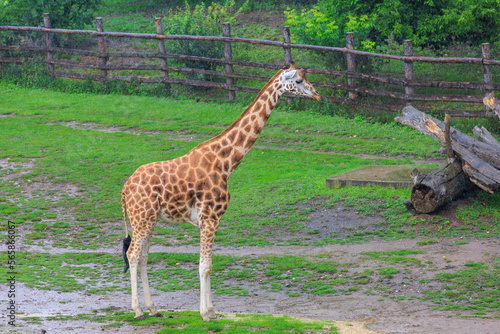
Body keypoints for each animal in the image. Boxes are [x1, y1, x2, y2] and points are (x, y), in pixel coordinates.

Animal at [121, 61, 320, 320]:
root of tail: (125, 188)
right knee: (133, 255)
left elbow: (208, 266)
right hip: (142, 218)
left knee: (143, 257)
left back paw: (153, 308)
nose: (317, 94)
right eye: (298, 80)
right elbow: (205, 266)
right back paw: (138, 311)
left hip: (148, 220)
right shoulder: (210, 218)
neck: (226, 163)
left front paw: (211, 311)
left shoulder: (210, 220)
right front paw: (206, 313)